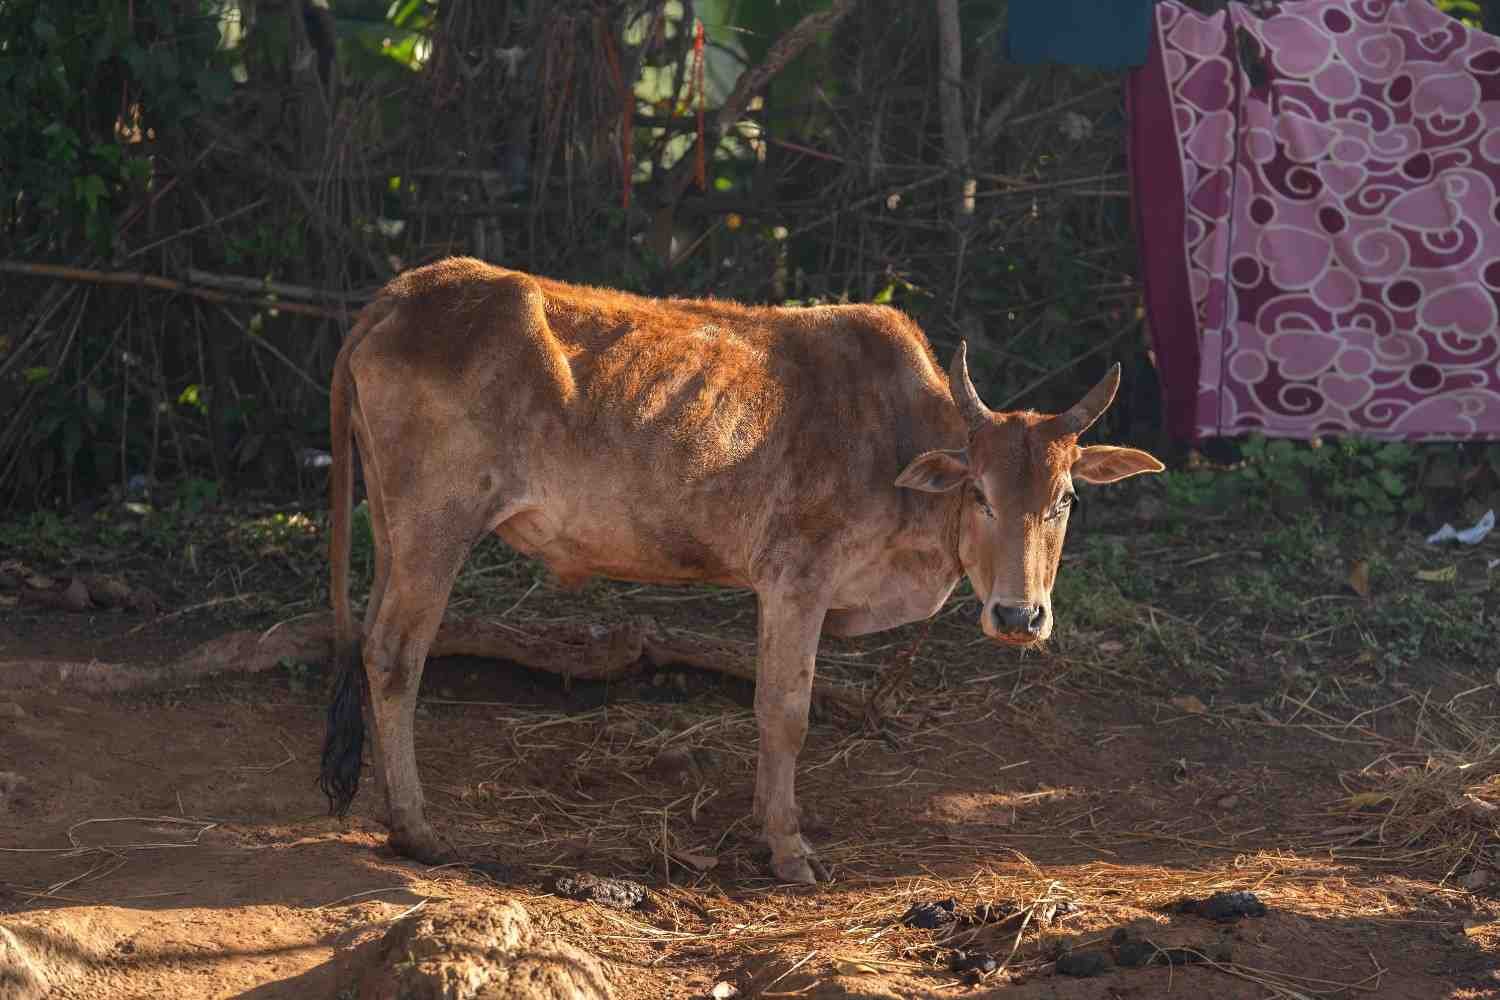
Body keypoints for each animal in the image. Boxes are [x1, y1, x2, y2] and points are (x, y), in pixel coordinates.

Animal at [318, 257, 1163, 883]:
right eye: (979, 493)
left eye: (1065, 499)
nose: (1019, 617)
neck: (895, 440)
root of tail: (401, 295)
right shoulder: (798, 581)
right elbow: (786, 713)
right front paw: (789, 850)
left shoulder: (775, 593)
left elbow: (766, 707)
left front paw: (764, 824)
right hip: (437, 527)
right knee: (395, 655)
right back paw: (417, 829)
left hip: (393, 528)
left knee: (372, 641)